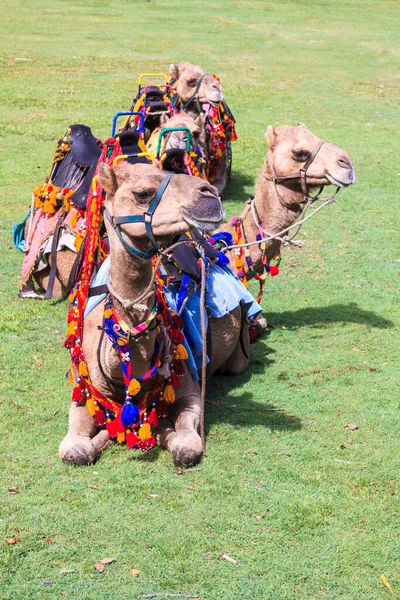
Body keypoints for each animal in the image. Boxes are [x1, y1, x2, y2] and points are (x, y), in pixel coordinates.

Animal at [59, 163, 253, 468]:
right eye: (143, 193)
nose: (209, 194)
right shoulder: (85, 389)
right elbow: (74, 450)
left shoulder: (188, 388)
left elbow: (186, 446)